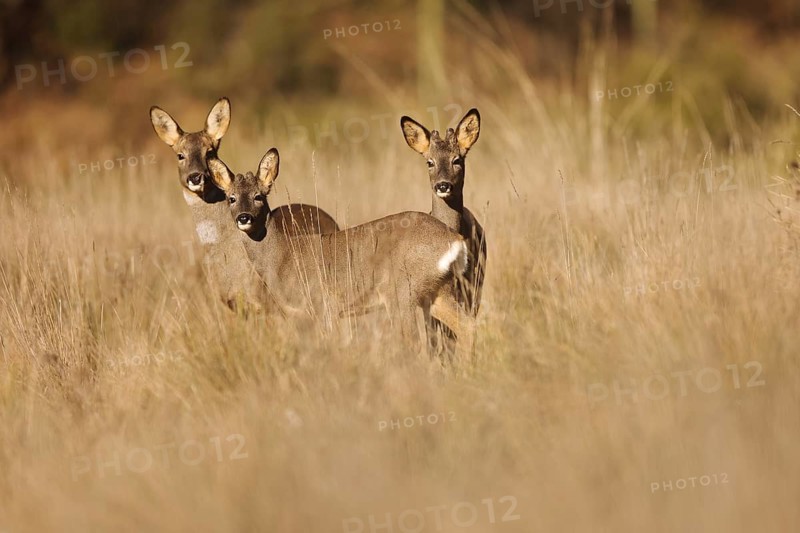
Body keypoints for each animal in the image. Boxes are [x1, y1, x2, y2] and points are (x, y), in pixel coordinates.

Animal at [207, 149, 475, 356]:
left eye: (258, 196)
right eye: (231, 198)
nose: (244, 218)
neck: (282, 256)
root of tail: (454, 240)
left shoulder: (323, 305)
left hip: (401, 293)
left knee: (414, 343)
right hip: (438, 291)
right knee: (468, 327)